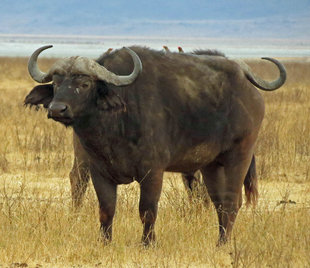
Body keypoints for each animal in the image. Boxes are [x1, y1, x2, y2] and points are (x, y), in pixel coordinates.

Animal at [24, 45, 286, 246]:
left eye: (85, 83)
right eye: (56, 83)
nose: (57, 109)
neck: (115, 122)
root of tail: (249, 86)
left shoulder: (152, 172)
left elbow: (147, 210)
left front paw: (147, 244)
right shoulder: (100, 171)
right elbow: (106, 210)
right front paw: (104, 242)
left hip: (239, 155)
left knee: (232, 202)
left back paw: (222, 244)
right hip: (211, 165)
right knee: (219, 203)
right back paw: (219, 241)